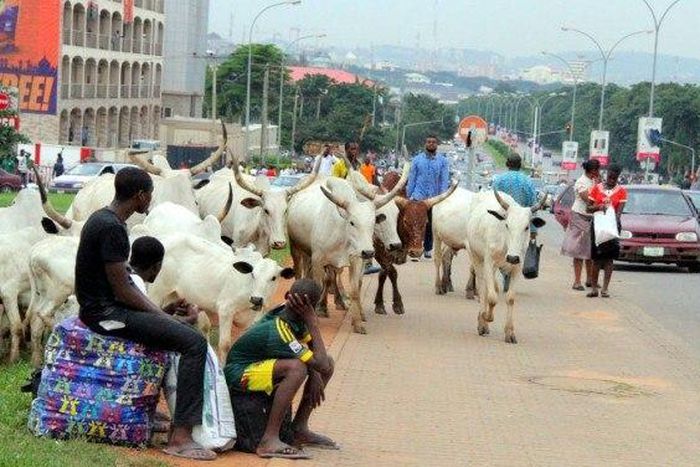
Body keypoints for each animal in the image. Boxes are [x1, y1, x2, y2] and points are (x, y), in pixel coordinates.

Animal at [147, 235, 295, 361]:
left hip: (174, 296)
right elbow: (225, 345)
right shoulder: (225, 310)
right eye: (253, 274)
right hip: (156, 293)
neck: (248, 289)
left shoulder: (256, 316)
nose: (256, 299)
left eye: (273, 278)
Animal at [286, 164, 408, 334]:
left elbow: (355, 289)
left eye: (373, 222)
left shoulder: (356, 260)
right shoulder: (318, 260)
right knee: (301, 275)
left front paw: (358, 321)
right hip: (297, 249)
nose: (395, 245)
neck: (343, 235)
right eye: (352, 222)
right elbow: (320, 285)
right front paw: (316, 316)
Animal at [466, 189, 546, 343]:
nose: (512, 257)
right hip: (476, 257)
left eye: (526, 227)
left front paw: (509, 332)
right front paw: (486, 317)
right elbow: (492, 298)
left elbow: (510, 298)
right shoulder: (488, 262)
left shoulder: (517, 267)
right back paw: (482, 322)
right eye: (507, 225)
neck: (506, 244)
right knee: (483, 288)